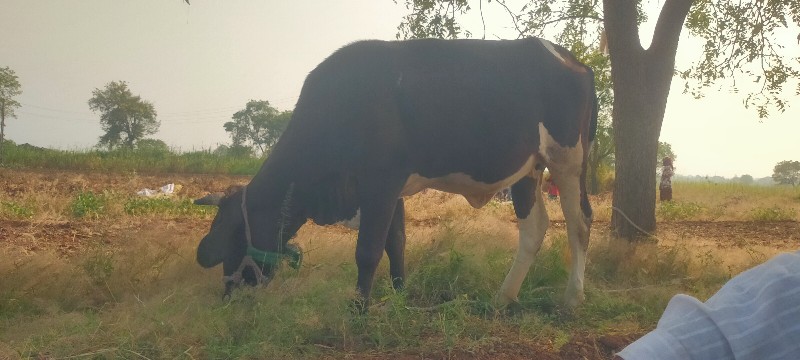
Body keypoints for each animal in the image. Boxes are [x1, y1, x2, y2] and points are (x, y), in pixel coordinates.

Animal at [195, 37, 592, 310]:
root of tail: (569, 58)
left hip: (569, 161)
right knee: (534, 229)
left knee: (580, 222)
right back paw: (503, 299)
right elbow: (396, 244)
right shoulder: (390, 191)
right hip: (530, 169)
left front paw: (358, 309)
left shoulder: (380, 183)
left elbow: (368, 250)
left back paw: (571, 300)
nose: (227, 295)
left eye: (229, 232)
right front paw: (400, 294)